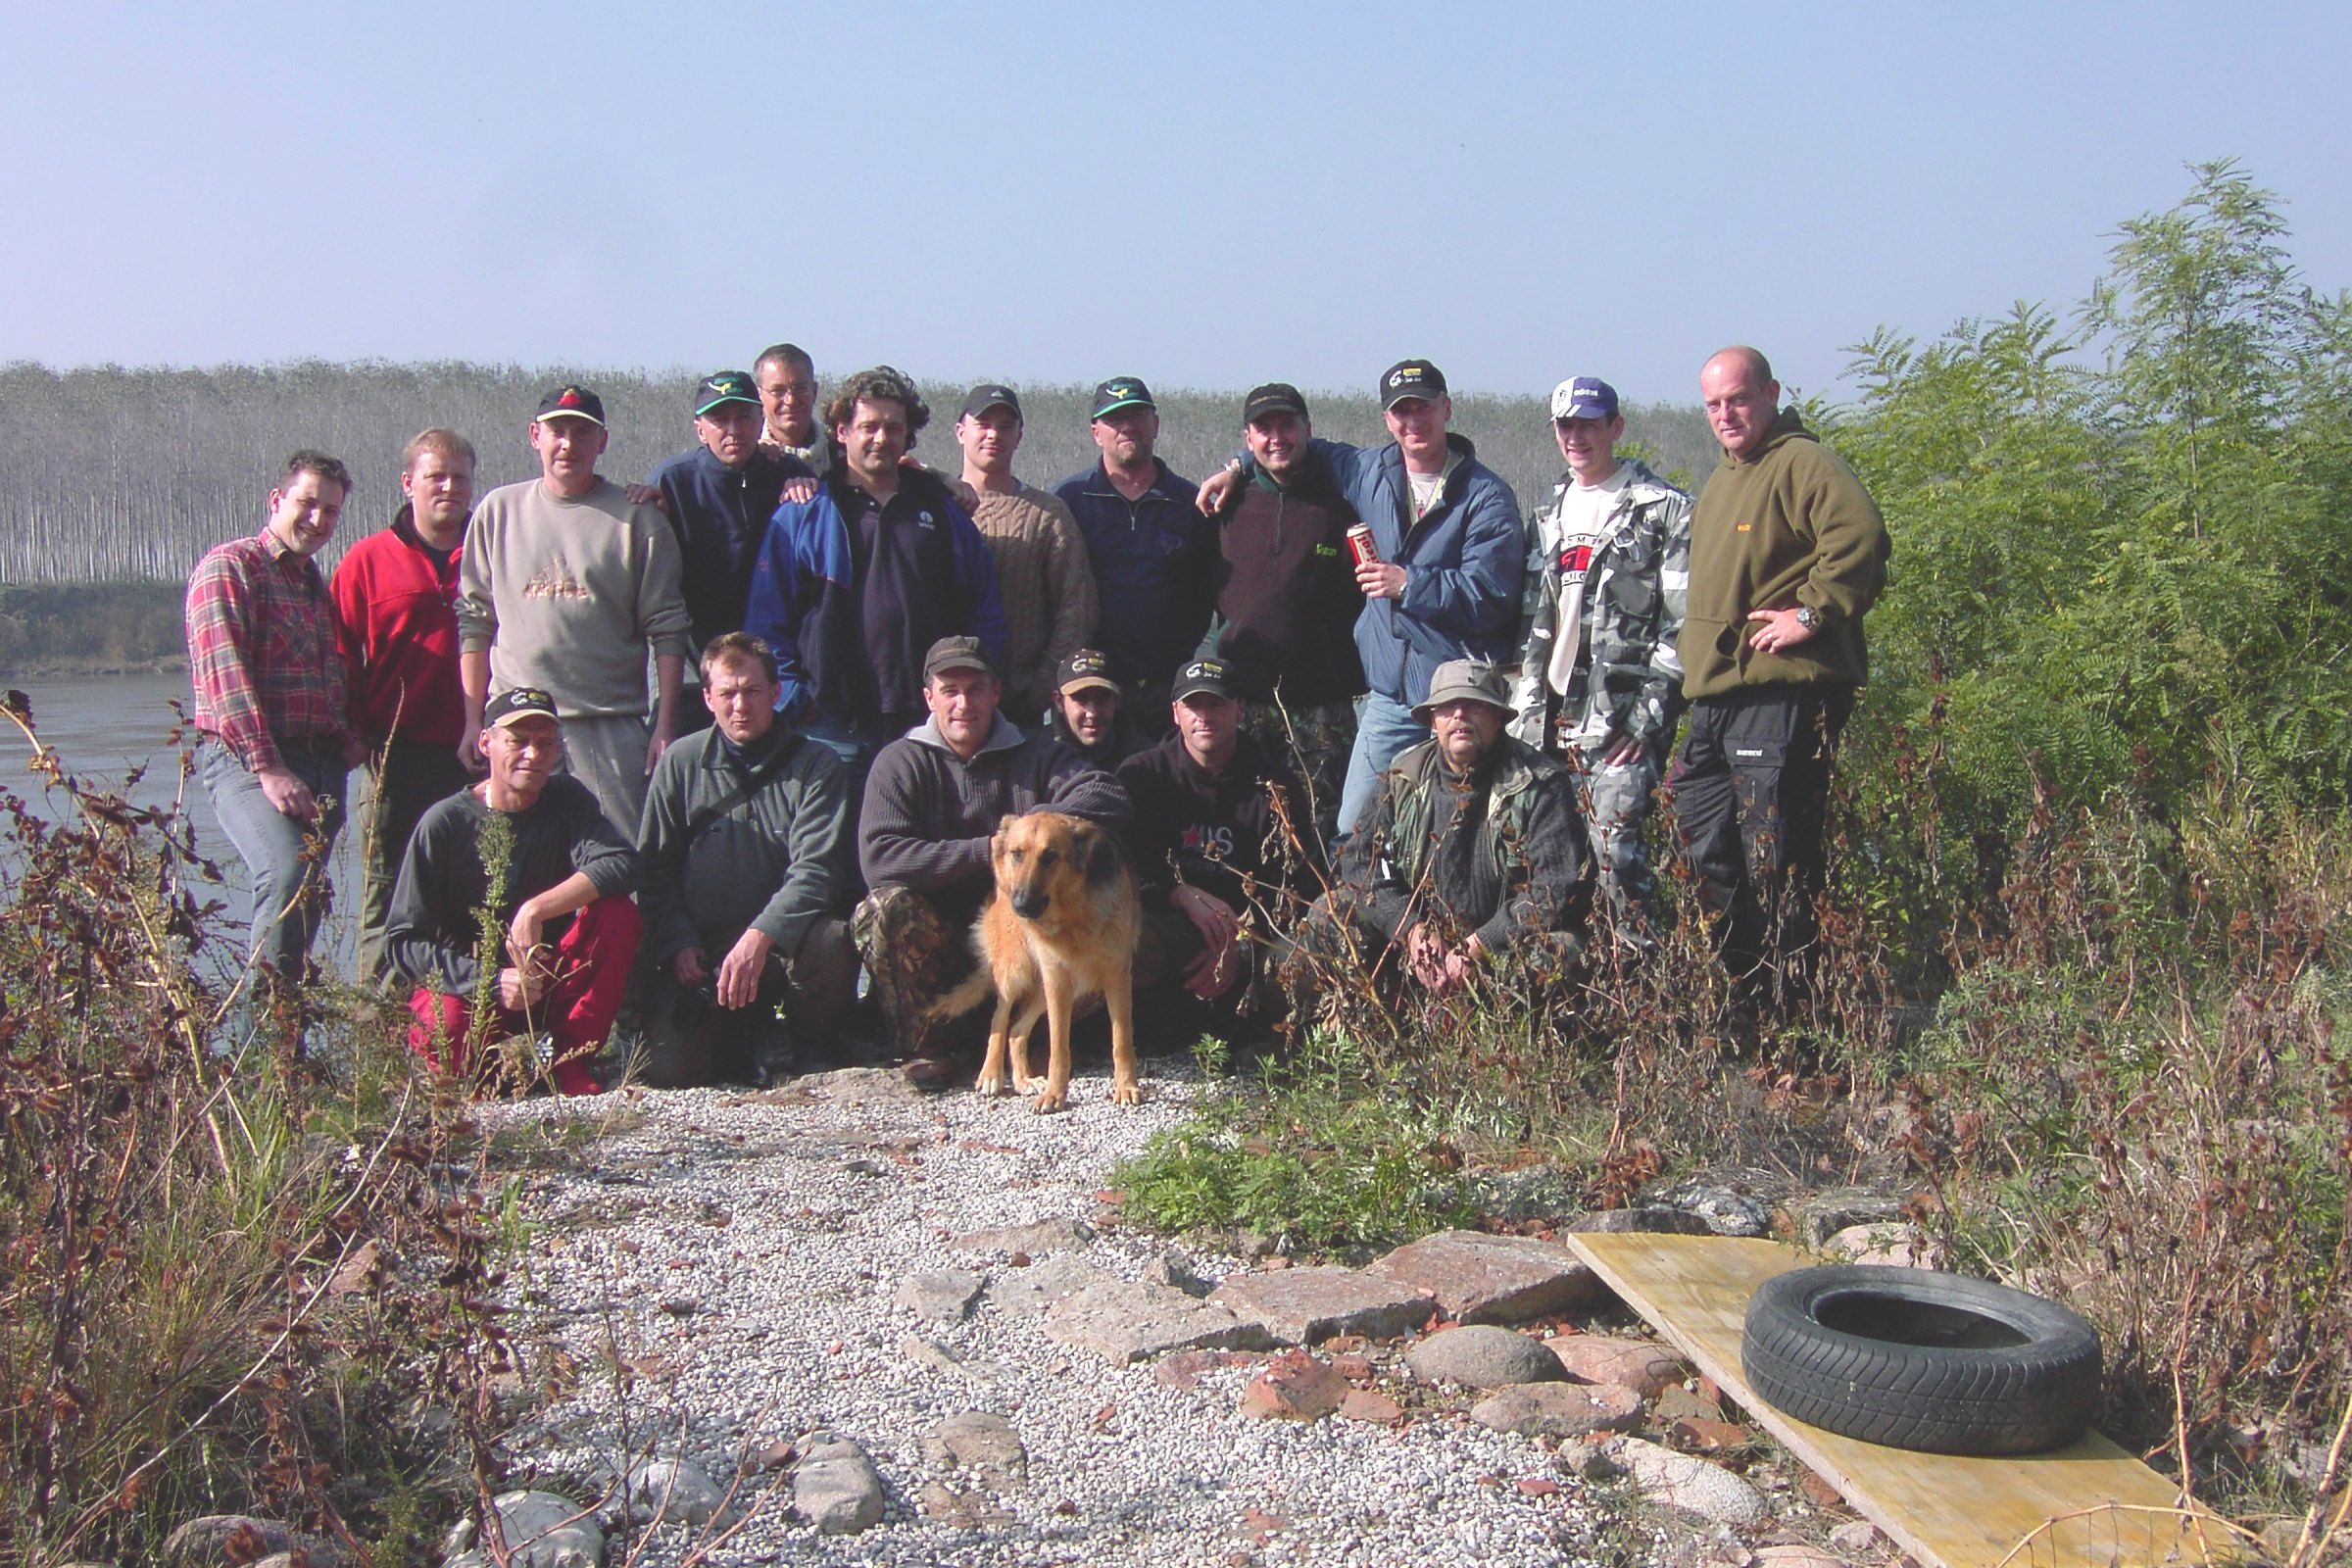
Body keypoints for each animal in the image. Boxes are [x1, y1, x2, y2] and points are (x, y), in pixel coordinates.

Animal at [926, 810, 1142, 1113]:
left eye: (1050, 855)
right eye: (1017, 854)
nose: (1021, 905)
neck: (1073, 915)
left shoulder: (1117, 978)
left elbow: (1121, 1041)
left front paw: (1126, 1087)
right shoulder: (1058, 981)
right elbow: (1058, 1048)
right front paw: (1055, 1094)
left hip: (1053, 989)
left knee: (1016, 1031)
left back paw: (1023, 1081)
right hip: (1017, 975)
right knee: (999, 1020)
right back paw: (991, 1075)